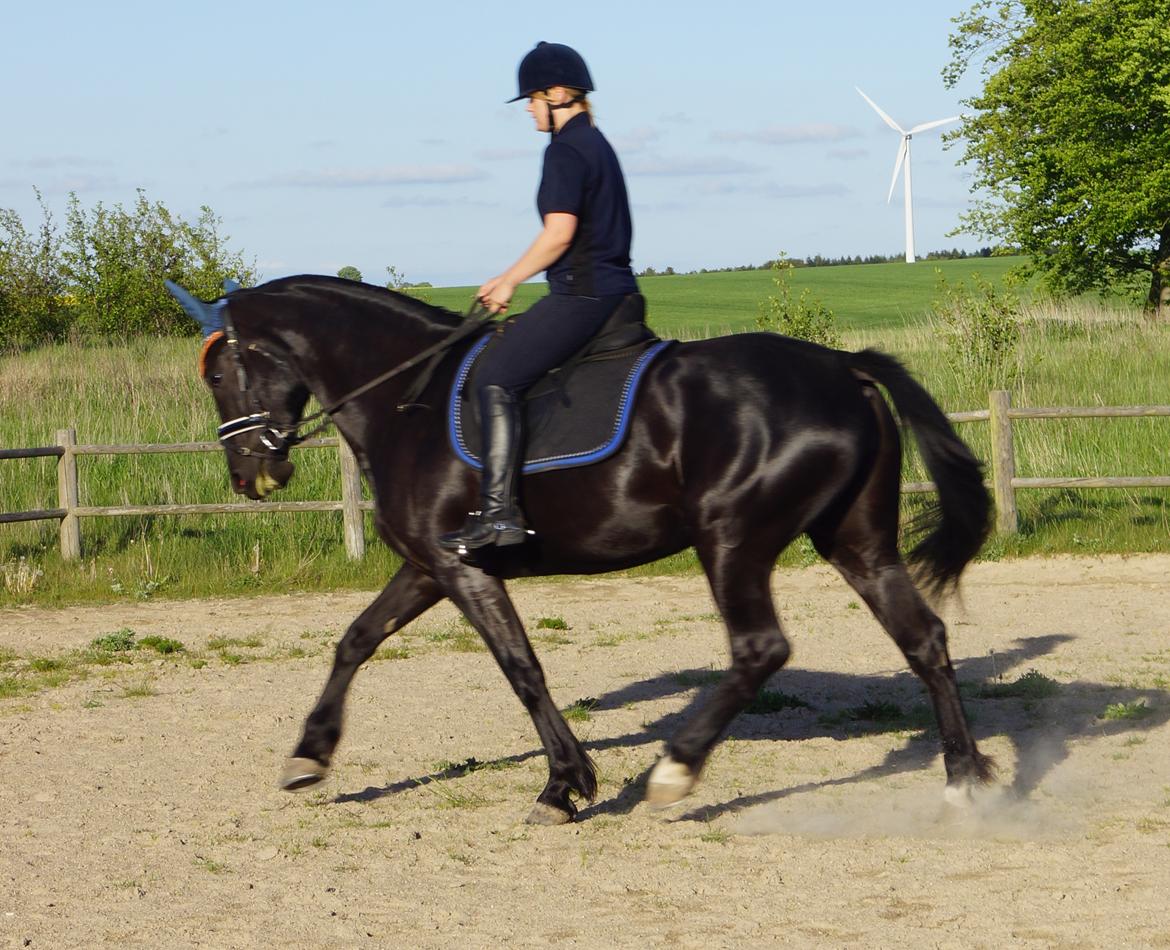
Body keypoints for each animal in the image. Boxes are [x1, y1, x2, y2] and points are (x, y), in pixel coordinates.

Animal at [177, 274, 992, 823]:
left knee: (761, 649)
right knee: (922, 637)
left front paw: (565, 785)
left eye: (218, 373)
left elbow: (522, 669)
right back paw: (965, 776)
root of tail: (843, 367)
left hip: (731, 540)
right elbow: (356, 638)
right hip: (856, 542)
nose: (250, 476)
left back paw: (674, 772)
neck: (406, 400)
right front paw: (309, 755)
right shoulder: (428, 566)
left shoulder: (462, 567)